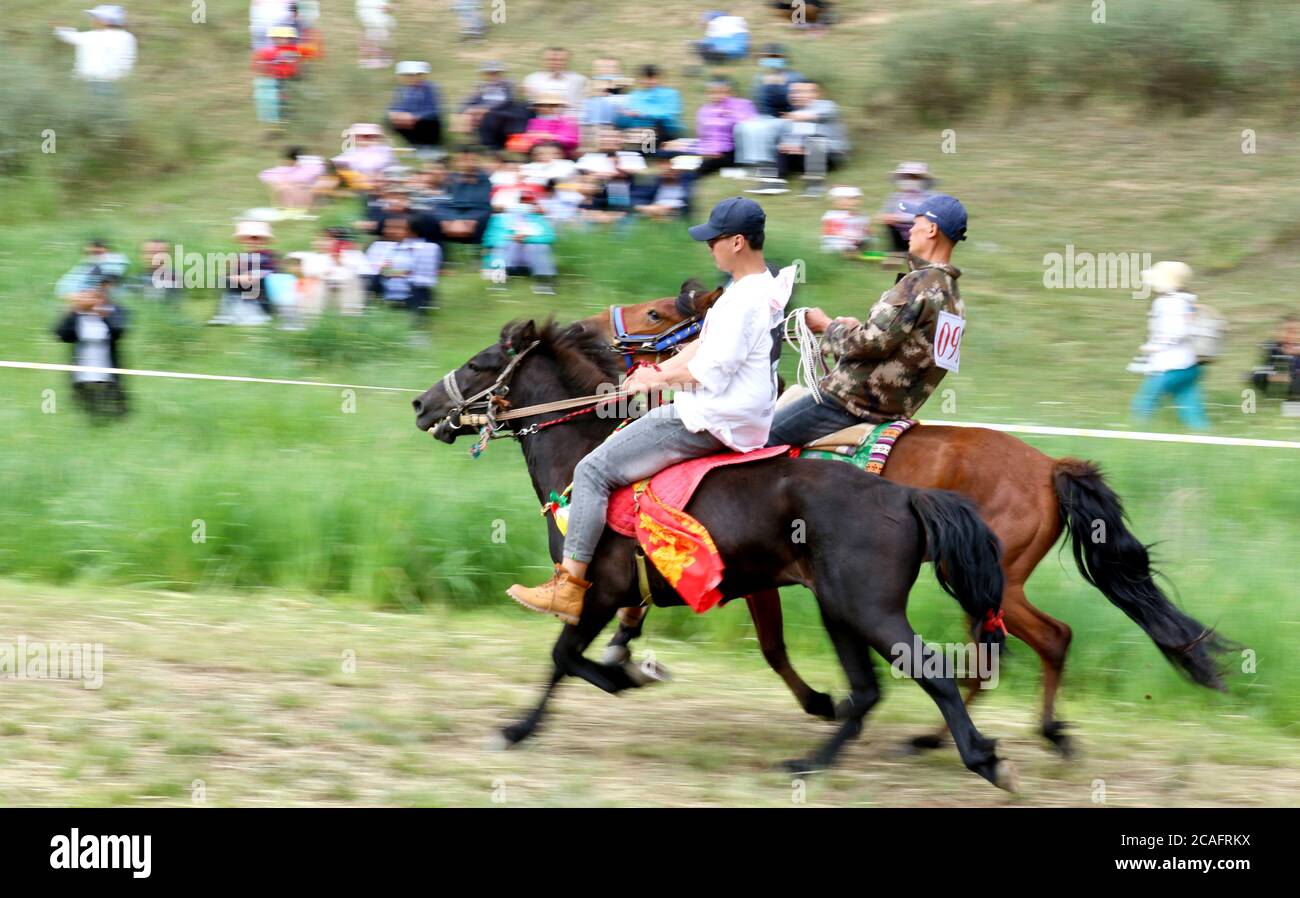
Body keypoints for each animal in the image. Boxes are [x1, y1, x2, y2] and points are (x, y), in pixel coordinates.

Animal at [410, 315, 1019, 784]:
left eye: (479, 364)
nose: (420, 404)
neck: (583, 463)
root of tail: (906, 495)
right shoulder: (626, 597)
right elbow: (580, 655)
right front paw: (619, 675)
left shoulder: (598, 590)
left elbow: (563, 656)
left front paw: (523, 727)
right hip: (840, 609)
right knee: (867, 692)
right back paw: (810, 762)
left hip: (869, 609)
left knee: (933, 673)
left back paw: (982, 758)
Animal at [579, 283, 1227, 758]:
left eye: (656, 310)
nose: (584, 328)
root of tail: (1049, 467)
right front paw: (617, 646)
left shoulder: (751, 573)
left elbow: (768, 645)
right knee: (1000, 651)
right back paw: (962, 737)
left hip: (992, 582)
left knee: (1040, 640)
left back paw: (1009, 735)